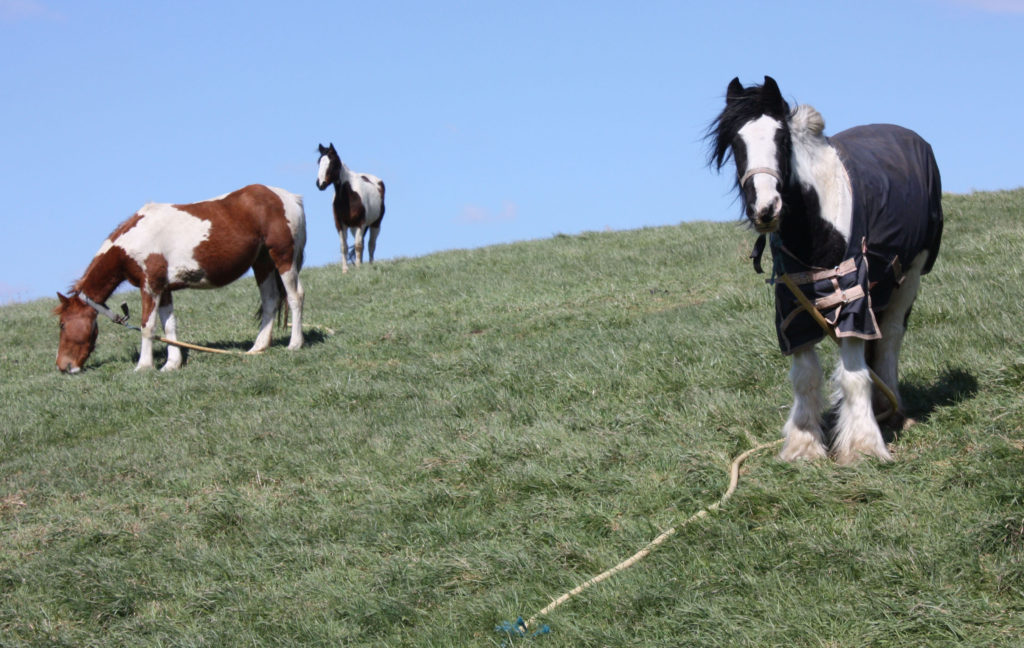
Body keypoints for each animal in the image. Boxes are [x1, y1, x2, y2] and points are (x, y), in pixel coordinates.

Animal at [55, 184, 306, 373]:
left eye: (62, 324)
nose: (63, 366)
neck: (135, 239)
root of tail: (290, 198)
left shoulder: (151, 287)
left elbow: (148, 326)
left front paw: (143, 366)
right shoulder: (164, 289)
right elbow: (169, 326)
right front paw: (172, 364)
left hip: (283, 258)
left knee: (295, 297)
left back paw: (295, 344)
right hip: (262, 263)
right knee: (270, 301)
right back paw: (258, 347)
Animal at [316, 143, 385, 273]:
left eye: (332, 163)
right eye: (319, 162)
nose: (320, 184)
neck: (349, 195)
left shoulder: (360, 223)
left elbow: (358, 246)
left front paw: (357, 268)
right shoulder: (340, 225)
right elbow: (344, 246)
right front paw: (345, 270)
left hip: (375, 224)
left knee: (371, 245)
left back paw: (370, 264)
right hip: (354, 228)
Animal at [708, 76, 943, 464]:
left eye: (782, 139)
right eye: (736, 143)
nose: (766, 209)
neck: (817, 227)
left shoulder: (853, 301)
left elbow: (853, 375)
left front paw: (863, 446)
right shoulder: (793, 310)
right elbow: (805, 377)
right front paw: (803, 447)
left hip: (911, 273)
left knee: (891, 337)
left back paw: (891, 410)